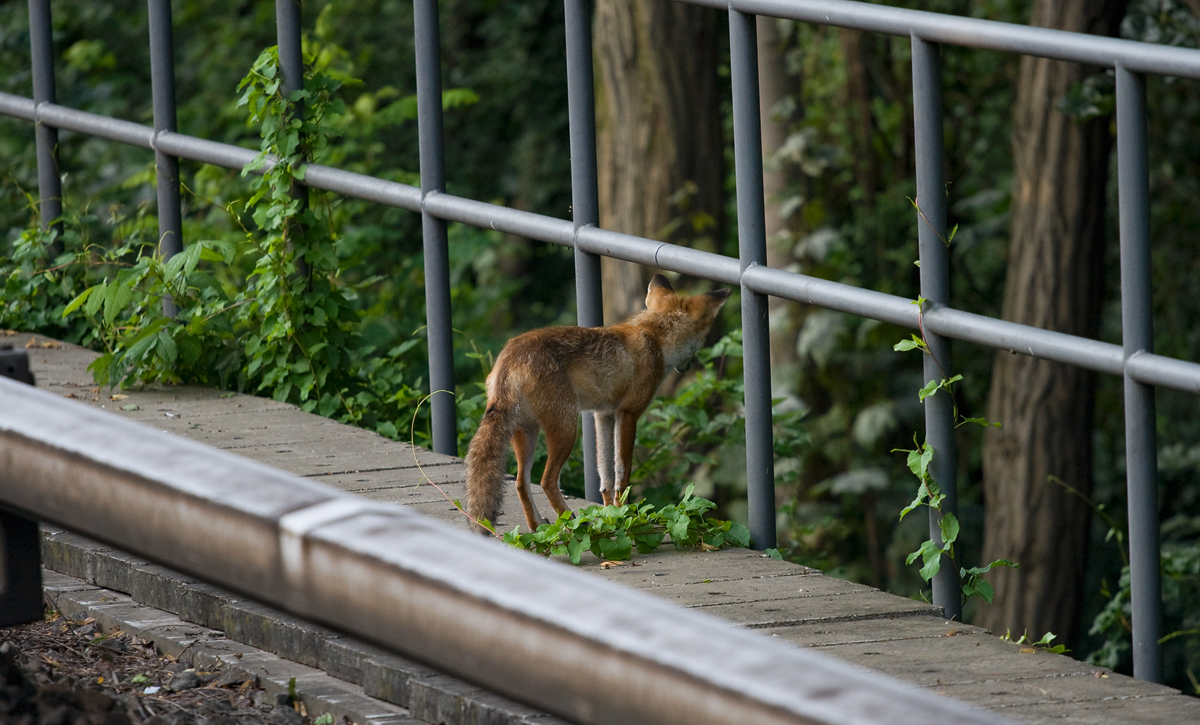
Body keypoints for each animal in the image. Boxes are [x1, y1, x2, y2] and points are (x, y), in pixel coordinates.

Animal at [465, 274, 731, 534]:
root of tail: (509, 357)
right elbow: (622, 475)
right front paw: (625, 514)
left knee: (521, 482)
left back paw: (537, 524)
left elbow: (605, 476)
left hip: (526, 431)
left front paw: (609, 513)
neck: (654, 337)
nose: (689, 365)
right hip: (566, 429)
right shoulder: (628, 413)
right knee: (546, 480)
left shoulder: (603, 414)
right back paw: (570, 521)